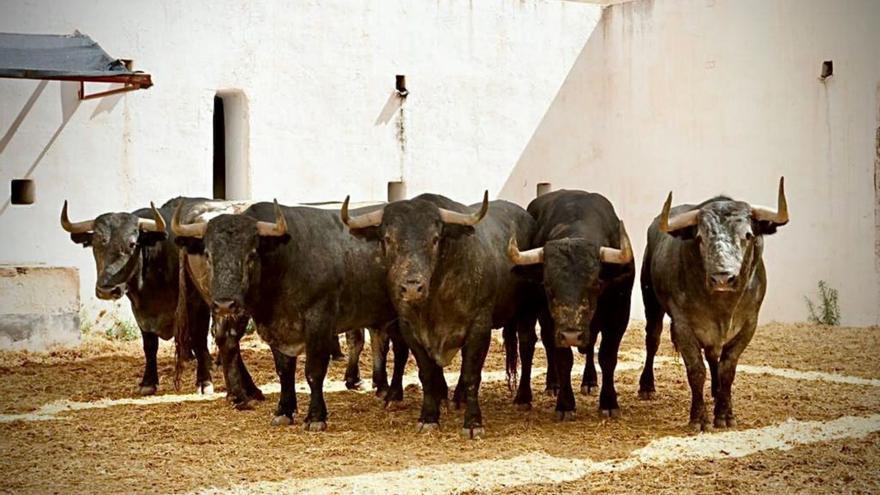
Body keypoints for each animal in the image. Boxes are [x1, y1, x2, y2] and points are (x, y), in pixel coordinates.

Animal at [640, 177, 792, 430]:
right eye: (700, 237)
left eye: (748, 235)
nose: (723, 277)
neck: (722, 307)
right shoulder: (683, 326)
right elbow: (696, 370)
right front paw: (699, 418)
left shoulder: (748, 325)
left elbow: (726, 369)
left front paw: (725, 414)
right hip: (651, 302)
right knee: (652, 339)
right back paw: (646, 386)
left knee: (713, 357)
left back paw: (715, 390)